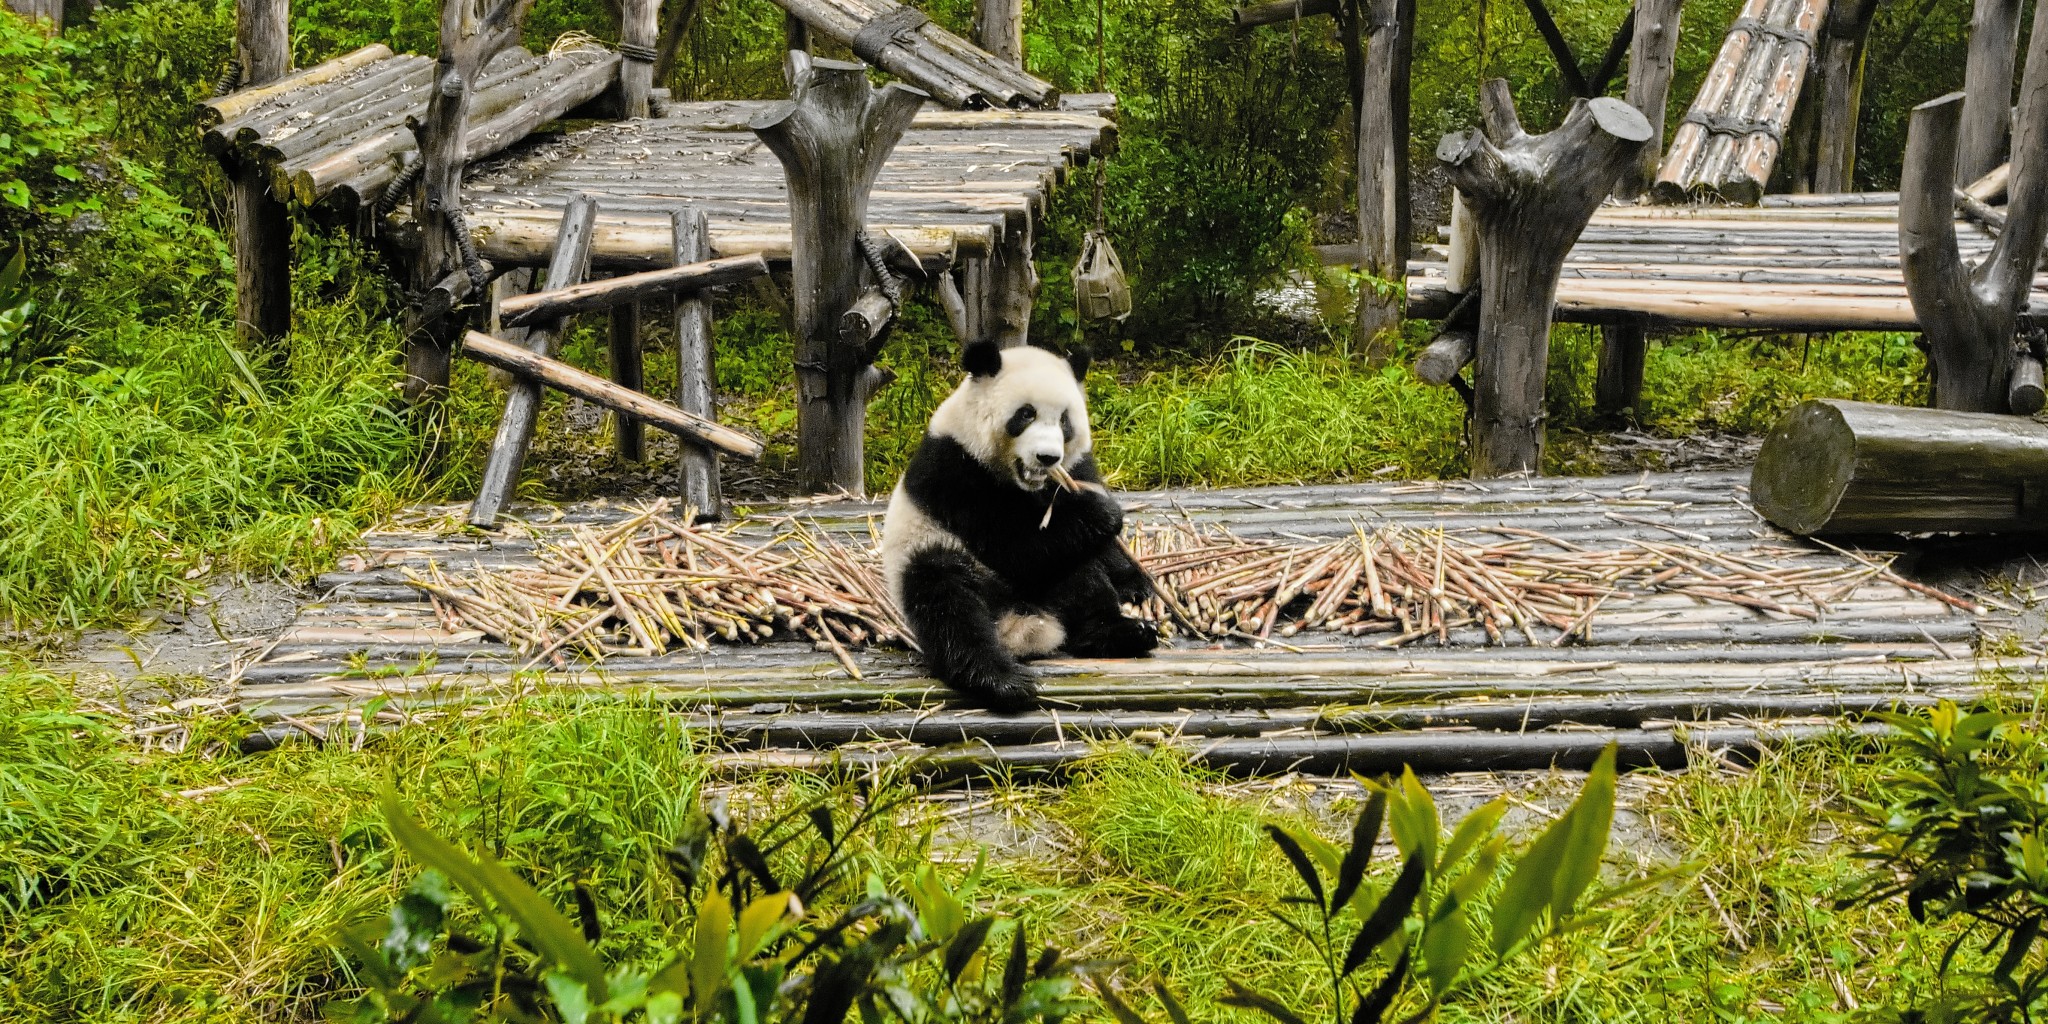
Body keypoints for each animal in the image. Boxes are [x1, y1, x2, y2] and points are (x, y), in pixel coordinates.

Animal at [880, 339, 1163, 708]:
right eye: (1026, 414)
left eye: (1064, 421)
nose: (1047, 457)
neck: (1025, 484)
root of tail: (1017, 619)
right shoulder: (956, 475)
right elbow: (1014, 546)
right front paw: (1103, 514)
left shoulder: (1076, 468)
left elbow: (1090, 543)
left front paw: (1136, 584)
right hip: (927, 550)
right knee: (947, 604)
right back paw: (999, 680)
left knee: (1079, 576)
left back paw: (1124, 633)